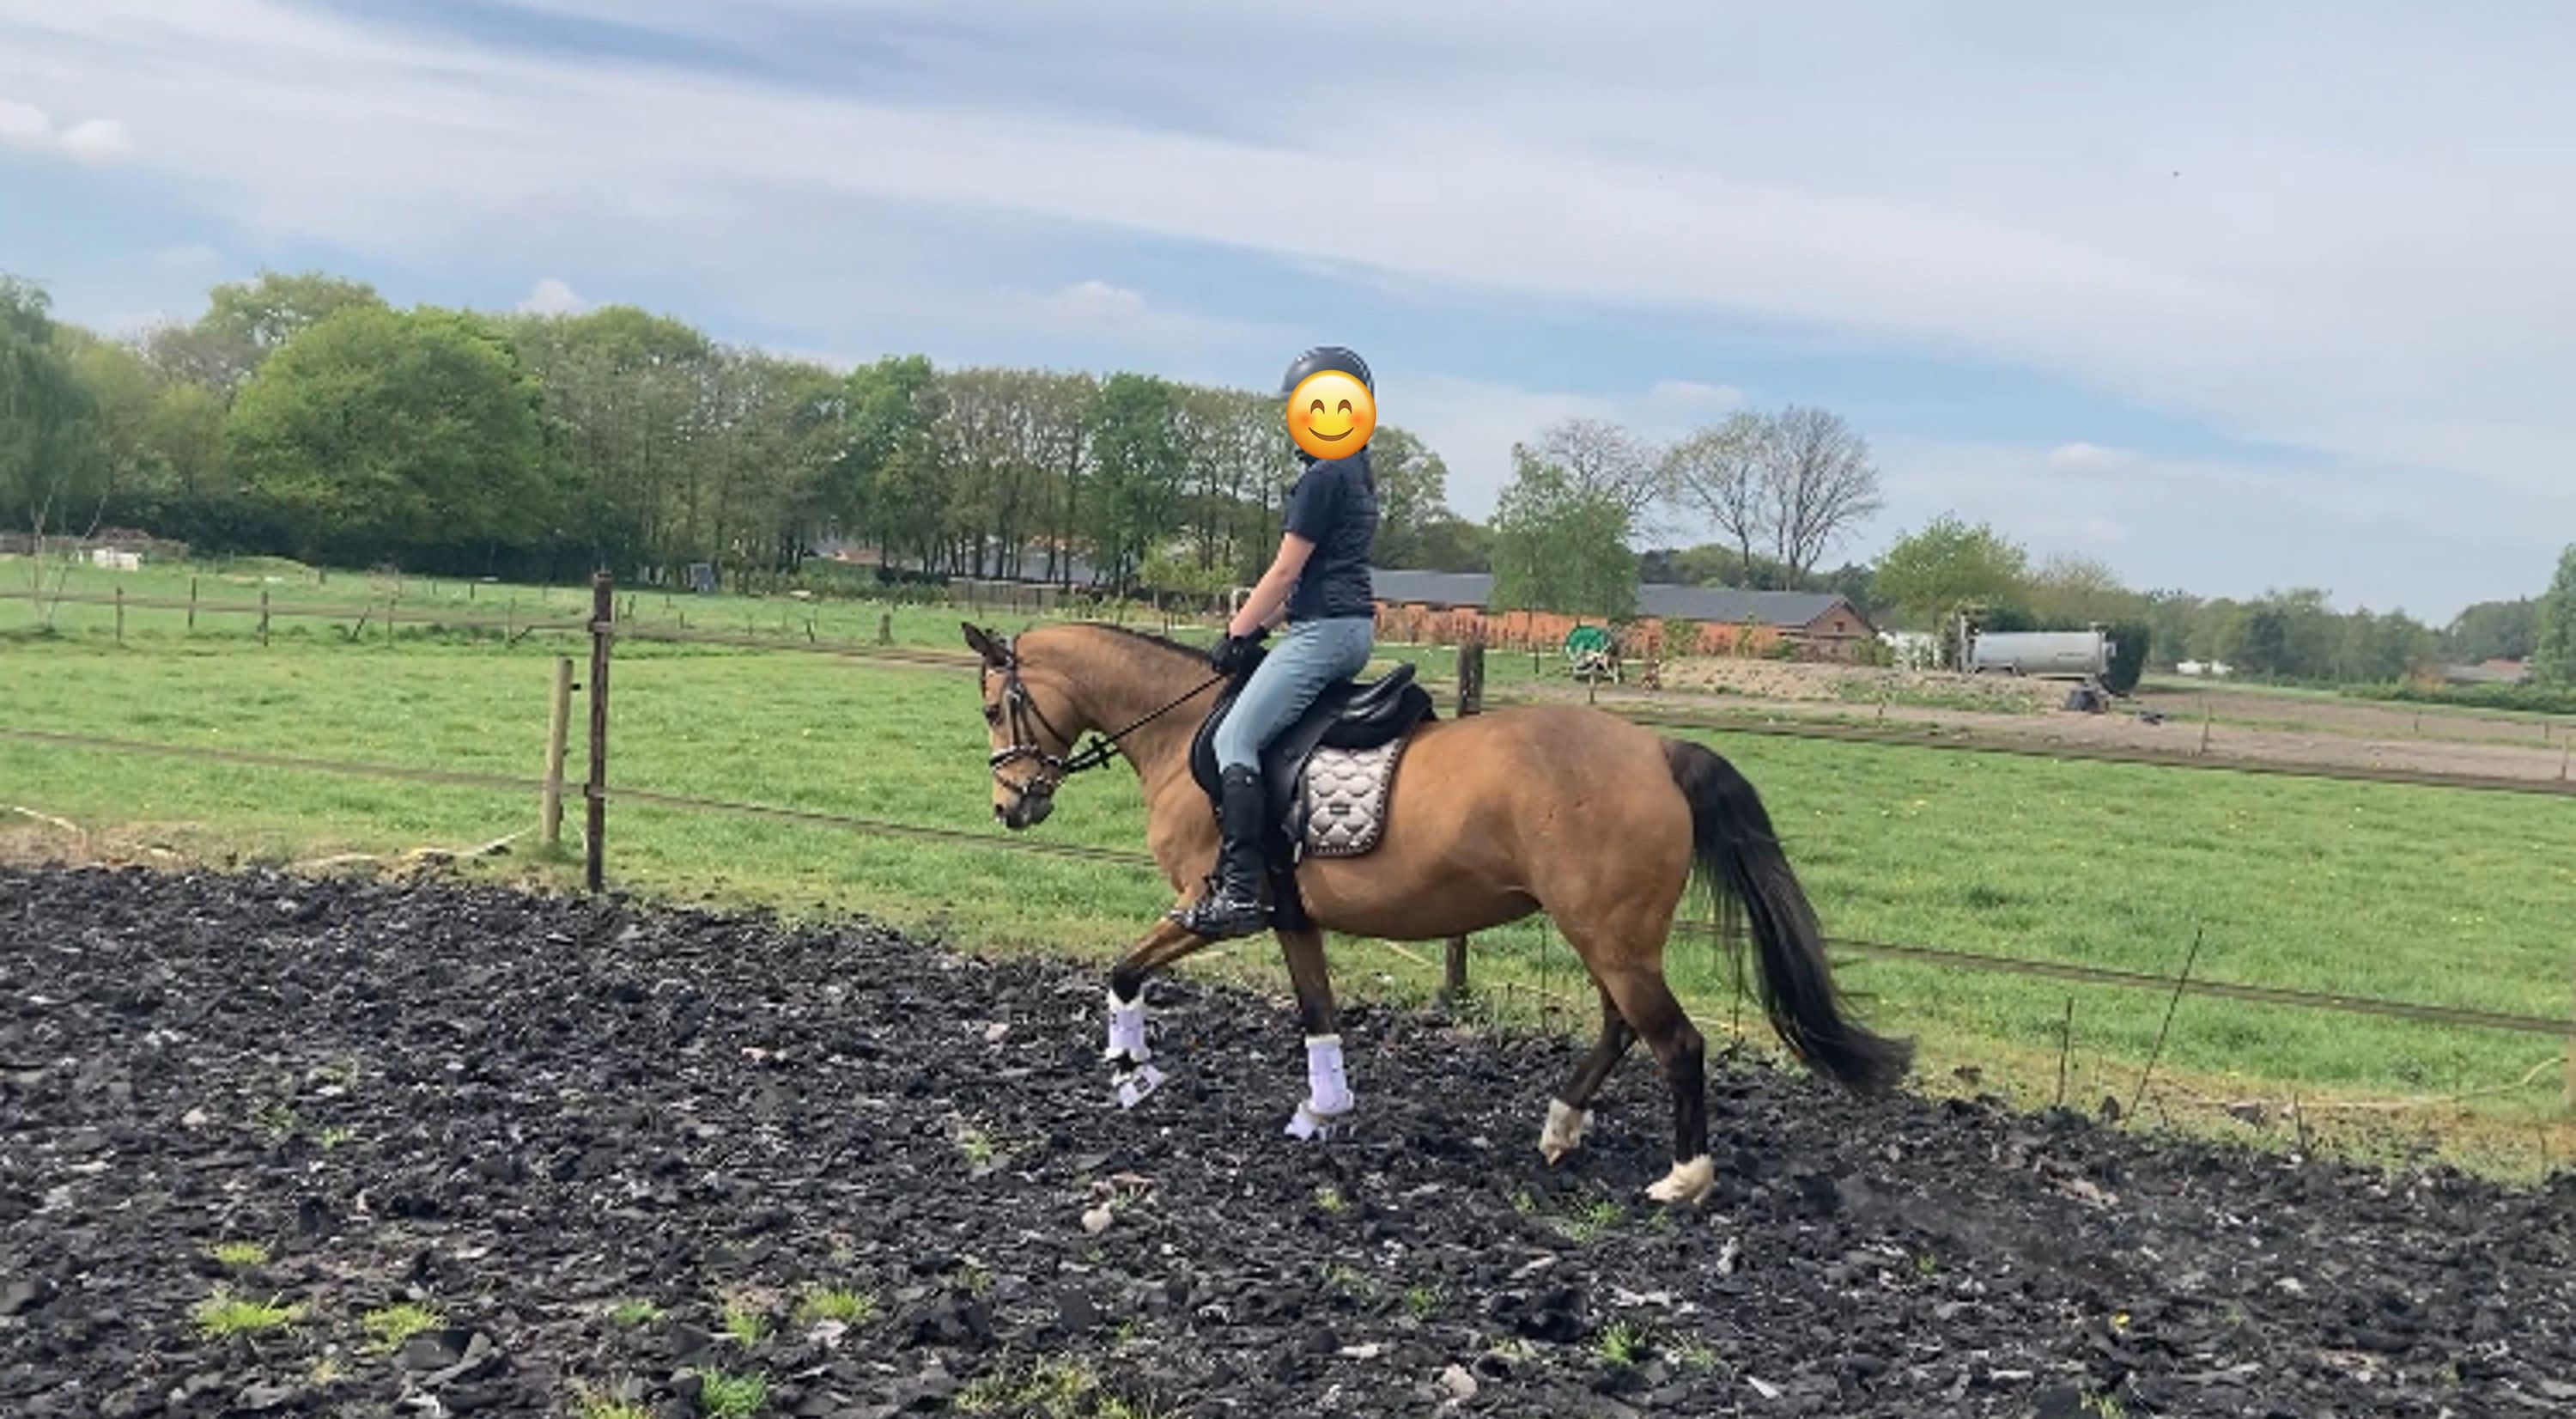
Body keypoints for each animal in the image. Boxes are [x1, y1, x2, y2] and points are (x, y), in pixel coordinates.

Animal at [963, 619, 1911, 1205]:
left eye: (993, 705)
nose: (1012, 806)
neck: (1188, 729)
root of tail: (1656, 750)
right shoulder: (1293, 917)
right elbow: (1317, 1012)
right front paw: (1324, 1110)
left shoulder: (1213, 905)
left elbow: (1123, 970)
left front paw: (1132, 1067)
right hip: (1609, 935)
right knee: (1622, 1028)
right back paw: (1561, 1127)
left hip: (1607, 934)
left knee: (1676, 1041)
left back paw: (1684, 1177)